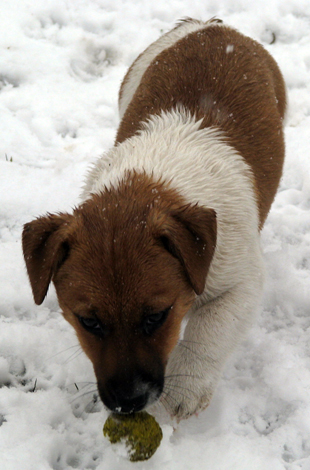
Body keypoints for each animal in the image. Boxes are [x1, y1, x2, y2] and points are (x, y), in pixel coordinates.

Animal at [23, 18, 286, 420]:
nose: (128, 402)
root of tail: (210, 25)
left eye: (156, 317)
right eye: (89, 322)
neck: (147, 184)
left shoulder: (240, 285)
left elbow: (209, 332)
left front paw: (185, 390)